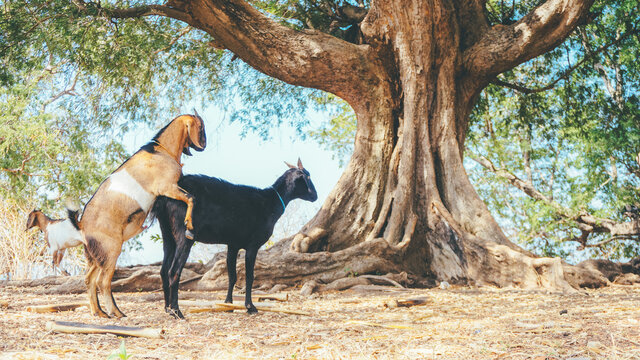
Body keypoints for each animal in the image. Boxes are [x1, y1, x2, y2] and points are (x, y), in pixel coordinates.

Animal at [74, 113, 206, 318]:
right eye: (200, 127)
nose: (204, 145)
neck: (161, 151)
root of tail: (82, 226)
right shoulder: (167, 187)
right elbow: (191, 198)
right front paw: (189, 225)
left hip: (98, 254)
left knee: (90, 279)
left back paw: (99, 312)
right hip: (111, 249)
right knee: (103, 281)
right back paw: (117, 312)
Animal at [153, 159, 318, 316]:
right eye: (308, 176)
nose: (315, 196)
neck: (270, 202)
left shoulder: (233, 244)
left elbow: (232, 276)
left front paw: (228, 304)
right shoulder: (253, 244)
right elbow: (249, 276)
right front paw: (250, 307)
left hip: (167, 233)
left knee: (163, 270)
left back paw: (167, 309)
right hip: (185, 234)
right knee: (174, 271)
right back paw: (177, 311)